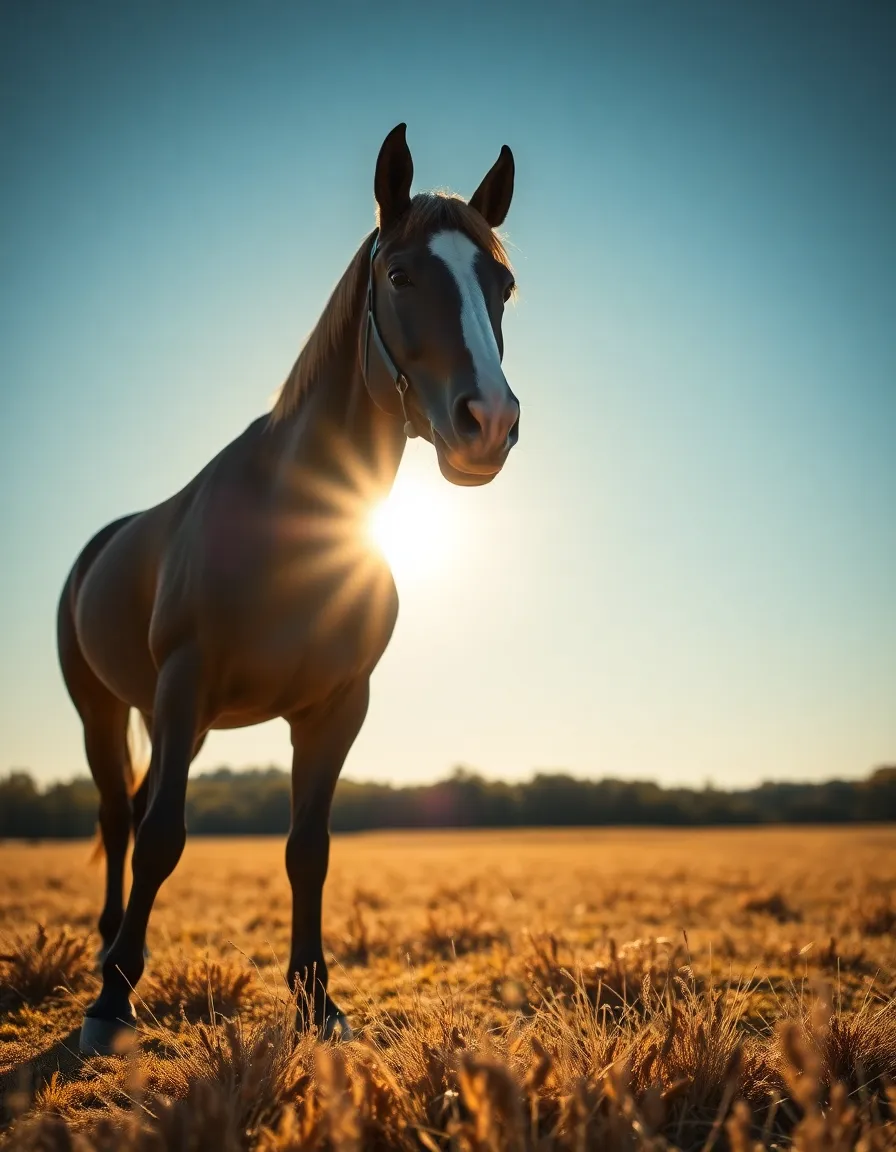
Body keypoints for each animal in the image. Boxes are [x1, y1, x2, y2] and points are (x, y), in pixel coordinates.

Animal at [56, 123, 520, 1056]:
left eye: (504, 285)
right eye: (401, 274)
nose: (488, 422)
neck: (293, 521)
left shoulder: (335, 706)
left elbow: (309, 848)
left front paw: (316, 1000)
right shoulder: (185, 683)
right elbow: (162, 837)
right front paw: (113, 1002)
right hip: (109, 707)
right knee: (121, 818)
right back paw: (106, 954)